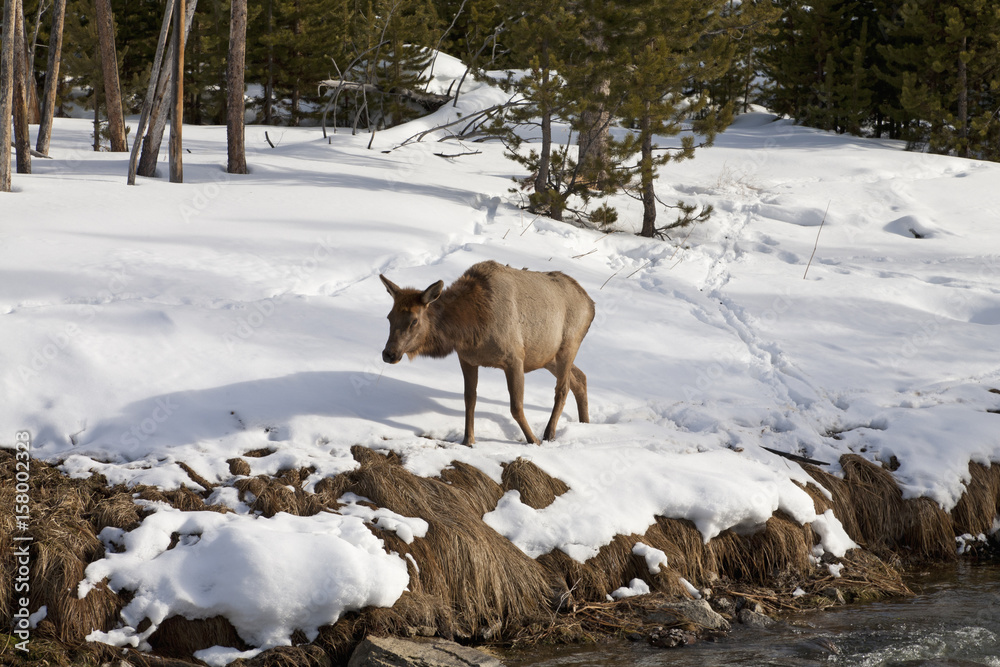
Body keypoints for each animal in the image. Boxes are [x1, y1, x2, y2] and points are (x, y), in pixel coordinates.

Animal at [379, 260, 595, 446]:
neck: (470, 330)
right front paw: (468, 440)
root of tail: (591, 304)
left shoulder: (514, 358)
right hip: (546, 355)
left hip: (569, 344)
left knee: (563, 388)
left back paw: (549, 433)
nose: (389, 353)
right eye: (389, 317)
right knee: (580, 378)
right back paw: (585, 422)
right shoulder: (467, 359)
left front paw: (533, 440)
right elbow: (469, 400)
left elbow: (516, 406)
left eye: (414, 320)